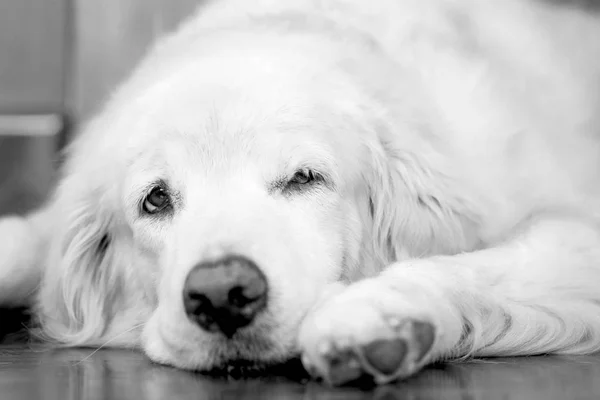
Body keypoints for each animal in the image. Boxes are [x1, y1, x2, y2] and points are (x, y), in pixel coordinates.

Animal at [1, 0, 600, 388]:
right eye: (155, 200)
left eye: (303, 178)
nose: (223, 295)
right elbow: (21, 245)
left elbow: (467, 266)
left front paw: (376, 314)